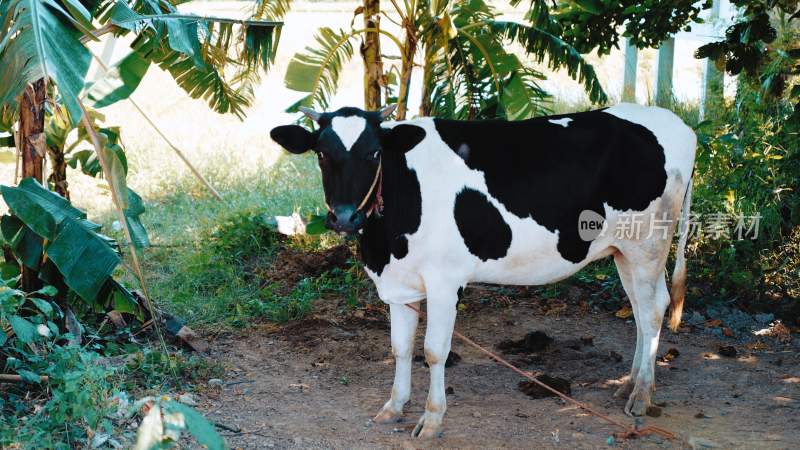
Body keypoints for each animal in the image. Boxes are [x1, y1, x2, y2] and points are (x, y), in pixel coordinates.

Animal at [268, 103, 692, 438]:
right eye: (322, 153)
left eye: (374, 153)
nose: (344, 217)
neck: (384, 244)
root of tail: (677, 124)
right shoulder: (399, 283)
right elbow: (400, 347)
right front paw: (394, 407)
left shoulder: (444, 282)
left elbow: (433, 351)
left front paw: (431, 419)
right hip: (623, 251)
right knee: (640, 309)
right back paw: (630, 384)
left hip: (647, 245)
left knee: (653, 310)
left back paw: (641, 395)